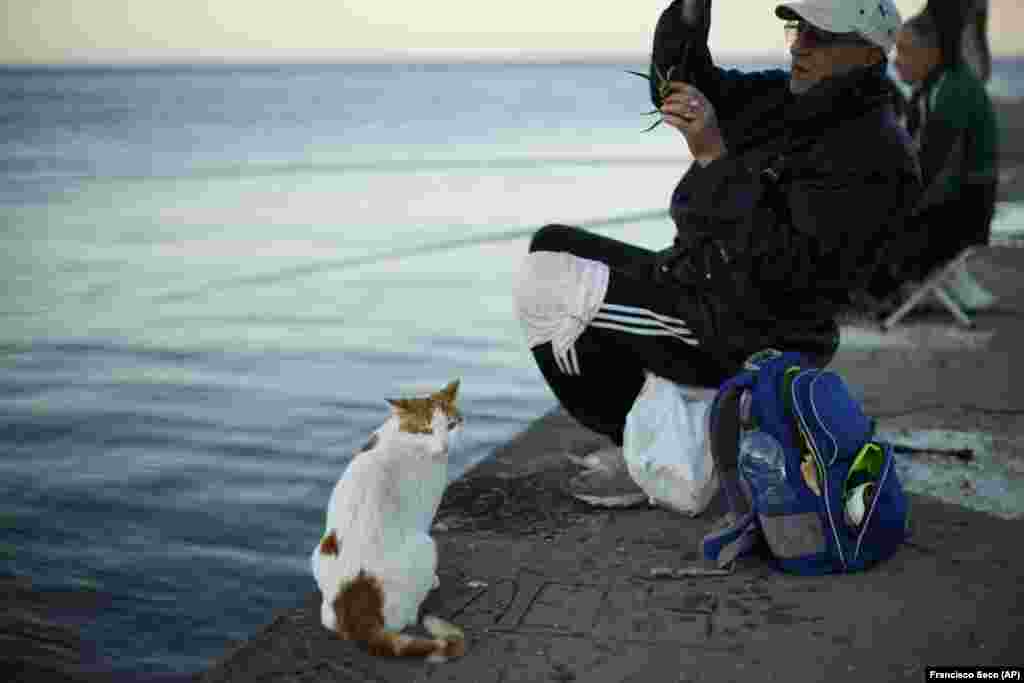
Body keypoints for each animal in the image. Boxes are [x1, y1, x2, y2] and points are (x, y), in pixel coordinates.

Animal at [311, 378, 468, 663]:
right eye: (426, 430)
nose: (444, 447)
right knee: (406, 619)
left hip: (319, 553)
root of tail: (355, 604)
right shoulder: (425, 510)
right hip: (426, 545)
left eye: (451, 426)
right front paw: (435, 579)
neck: (404, 437)